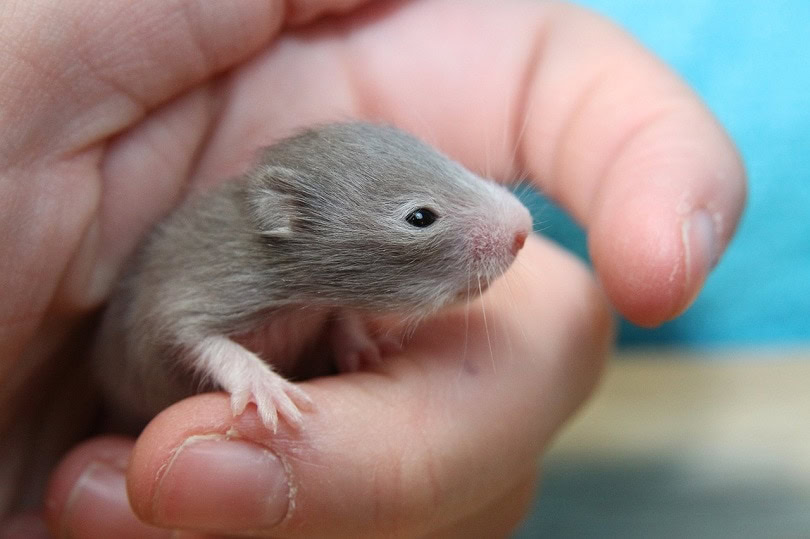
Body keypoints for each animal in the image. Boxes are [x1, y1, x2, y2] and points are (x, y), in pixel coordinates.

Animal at [93, 122, 532, 432]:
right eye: (420, 217)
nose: (524, 227)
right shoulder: (210, 286)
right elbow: (194, 337)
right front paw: (263, 385)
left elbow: (341, 317)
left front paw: (363, 347)